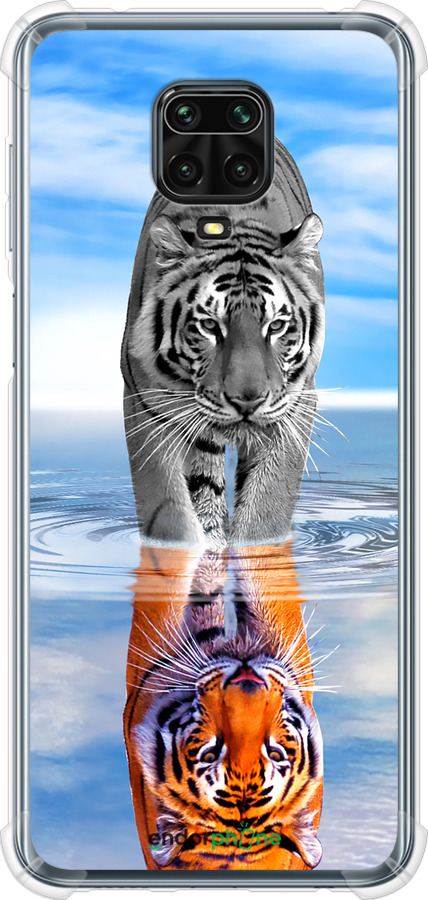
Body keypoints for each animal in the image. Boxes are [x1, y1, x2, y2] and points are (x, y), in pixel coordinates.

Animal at [121, 138, 325, 548]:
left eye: (277, 326)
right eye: (209, 325)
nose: (247, 401)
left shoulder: (295, 405)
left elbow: (266, 508)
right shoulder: (145, 402)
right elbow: (169, 511)